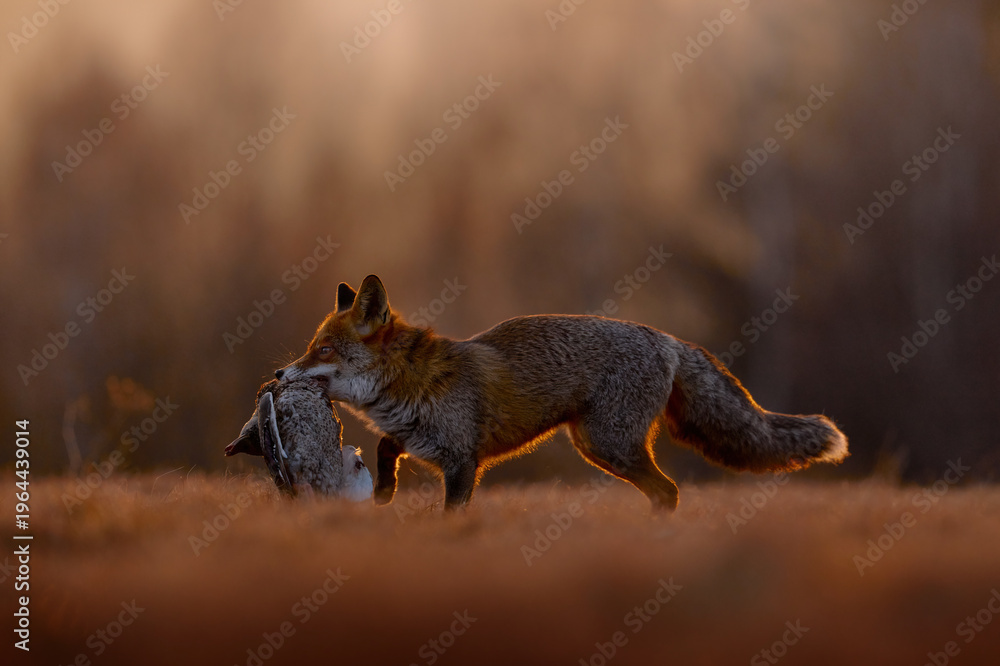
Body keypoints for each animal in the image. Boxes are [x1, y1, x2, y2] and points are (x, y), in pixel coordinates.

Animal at [275, 274, 848, 511]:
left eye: (322, 349)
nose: (279, 375)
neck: (412, 385)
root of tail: (665, 337)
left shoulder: (463, 462)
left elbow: (451, 514)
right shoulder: (422, 440)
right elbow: (386, 447)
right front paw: (386, 490)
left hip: (604, 444)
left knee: (669, 491)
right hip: (600, 446)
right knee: (664, 492)